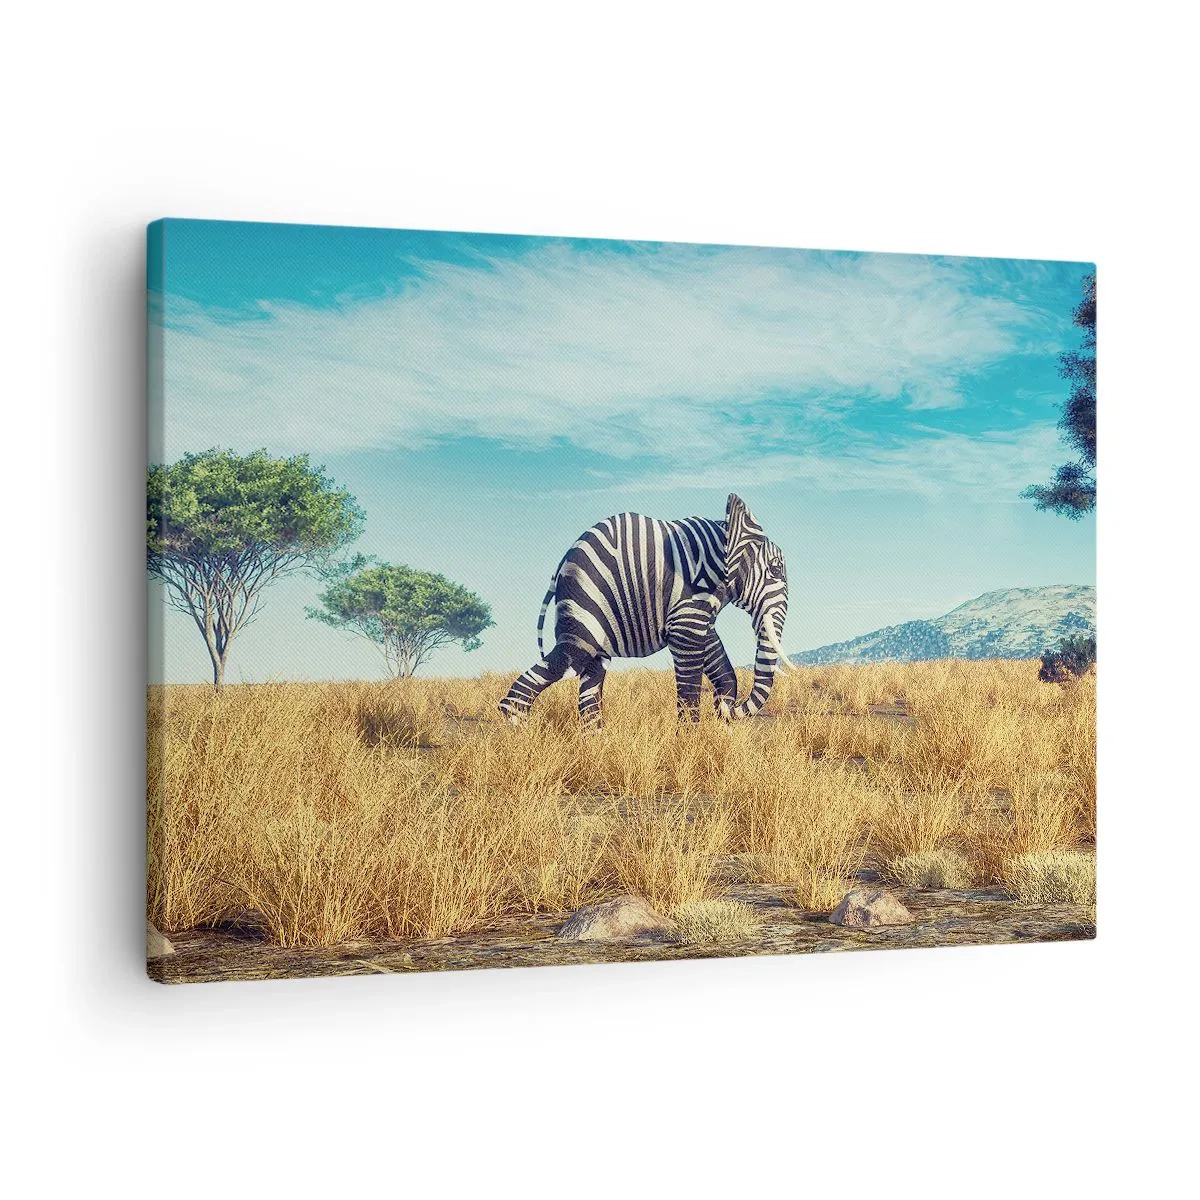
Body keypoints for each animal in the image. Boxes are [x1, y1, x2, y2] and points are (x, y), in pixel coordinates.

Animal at [499, 493, 796, 725]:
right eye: (775, 570)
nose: (731, 710)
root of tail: (561, 562)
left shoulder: (698, 611)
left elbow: (722, 668)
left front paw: (721, 728)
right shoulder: (686, 604)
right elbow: (690, 683)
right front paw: (690, 748)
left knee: (591, 683)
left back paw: (599, 749)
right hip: (584, 604)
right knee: (568, 660)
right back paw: (521, 739)